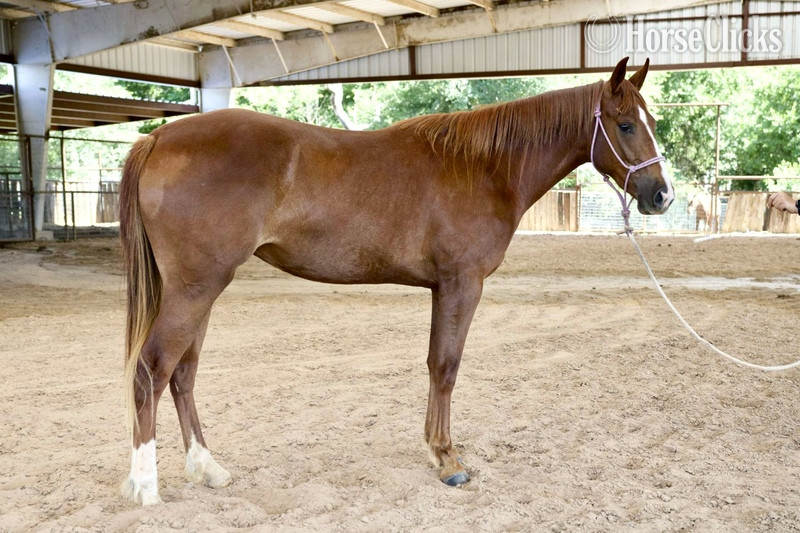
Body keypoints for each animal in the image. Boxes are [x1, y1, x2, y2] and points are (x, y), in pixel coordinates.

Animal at [119, 57, 674, 505]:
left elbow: (433, 364)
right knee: (152, 370)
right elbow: (447, 368)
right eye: (626, 124)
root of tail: (159, 137)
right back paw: (145, 485)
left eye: (650, 122)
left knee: (183, 373)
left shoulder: (441, 289)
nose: (662, 195)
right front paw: (448, 461)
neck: (483, 167)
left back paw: (206, 468)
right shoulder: (461, 285)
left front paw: (435, 449)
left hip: (200, 291)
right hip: (196, 289)